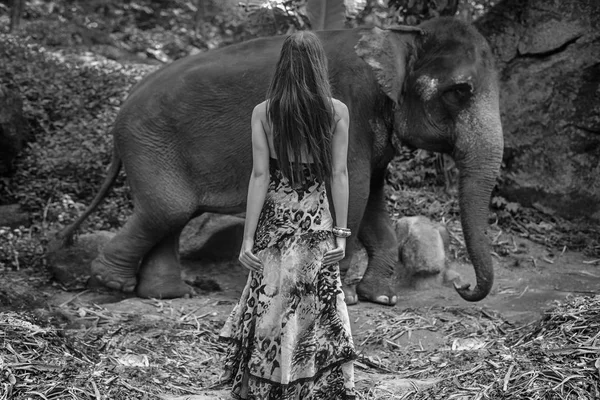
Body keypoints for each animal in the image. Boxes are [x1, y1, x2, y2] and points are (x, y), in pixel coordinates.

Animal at [55, 17, 502, 306]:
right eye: (459, 91)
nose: (463, 288)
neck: (396, 34)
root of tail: (124, 104)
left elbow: (372, 199)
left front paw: (381, 298)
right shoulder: (349, 107)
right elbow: (353, 191)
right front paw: (345, 296)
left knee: (172, 215)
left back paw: (168, 293)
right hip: (148, 145)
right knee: (168, 210)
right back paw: (112, 284)